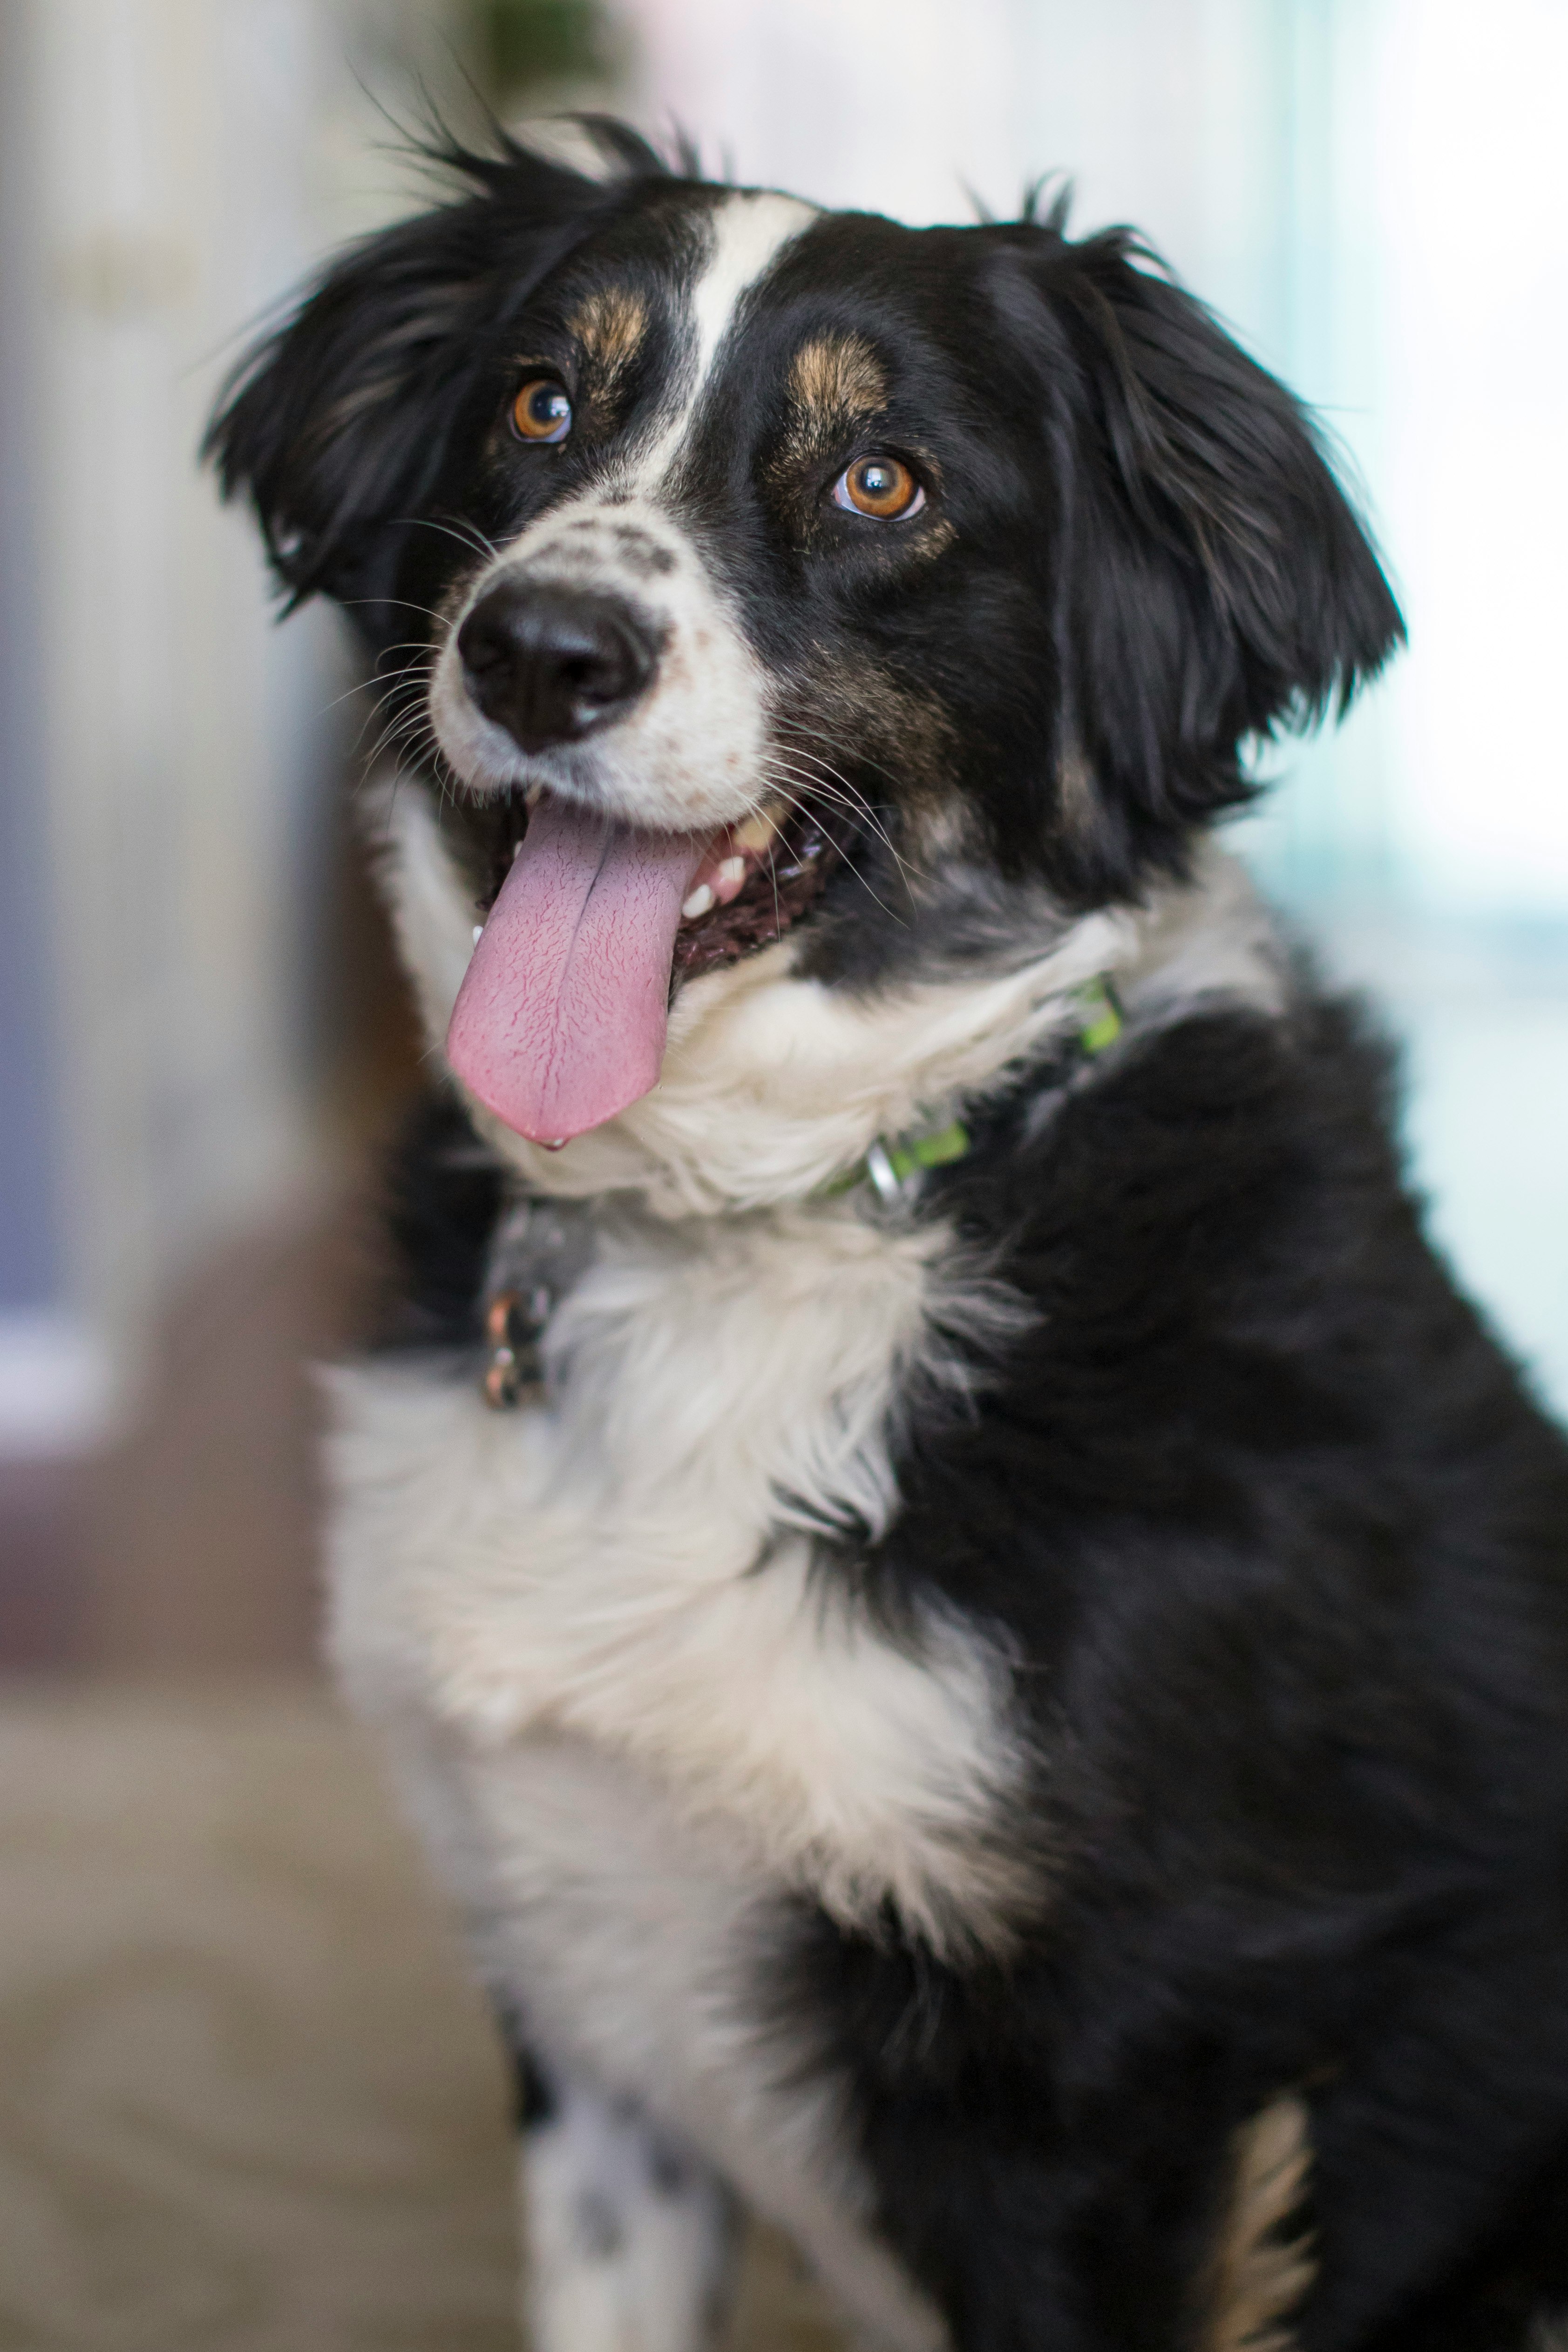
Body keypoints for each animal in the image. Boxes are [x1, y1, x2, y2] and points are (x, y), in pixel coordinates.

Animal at [205, 124, 1568, 2352]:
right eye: (540, 405)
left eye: (879, 483)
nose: (539, 651)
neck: (789, 1206)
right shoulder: (581, 1996)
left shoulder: (1111, 2083)